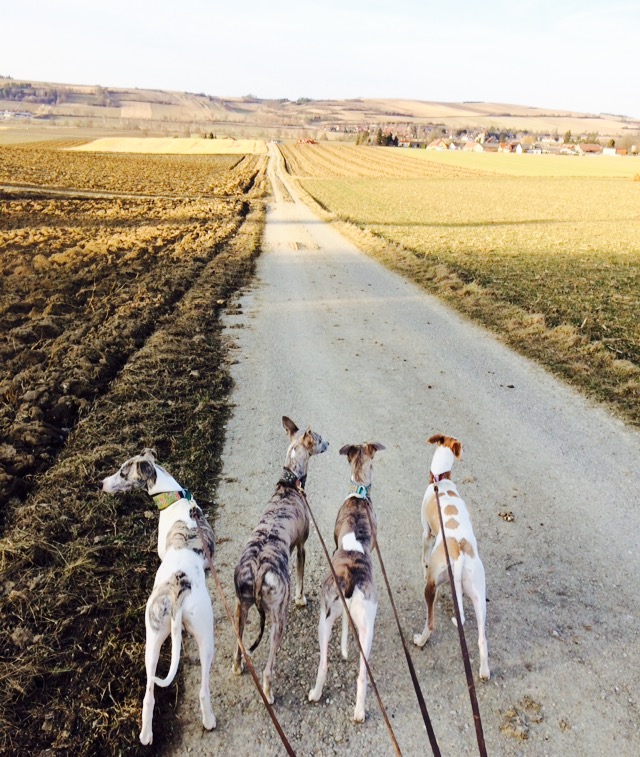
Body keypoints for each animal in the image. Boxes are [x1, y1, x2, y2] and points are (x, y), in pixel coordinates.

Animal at [101, 448, 216, 744]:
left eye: (122, 472)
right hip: (183, 636)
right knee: (190, 690)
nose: (101, 483)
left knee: (153, 693)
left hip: (158, 635)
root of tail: (177, 589)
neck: (174, 496)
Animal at [310, 442, 384, 720]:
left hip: (326, 617)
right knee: (362, 676)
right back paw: (359, 711)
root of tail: (352, 579)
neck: (359, 493)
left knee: (323, 664)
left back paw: (317, 694)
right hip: (363, 628)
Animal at [412, 432, 488, 680]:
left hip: (431, 586)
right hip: (477, 593)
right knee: (482, 639)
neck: (440, 481)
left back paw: (420, 640)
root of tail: (459, 551)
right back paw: (484, 671)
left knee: (431, 623)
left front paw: (423, 564)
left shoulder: (426, 533)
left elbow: (423, 554)